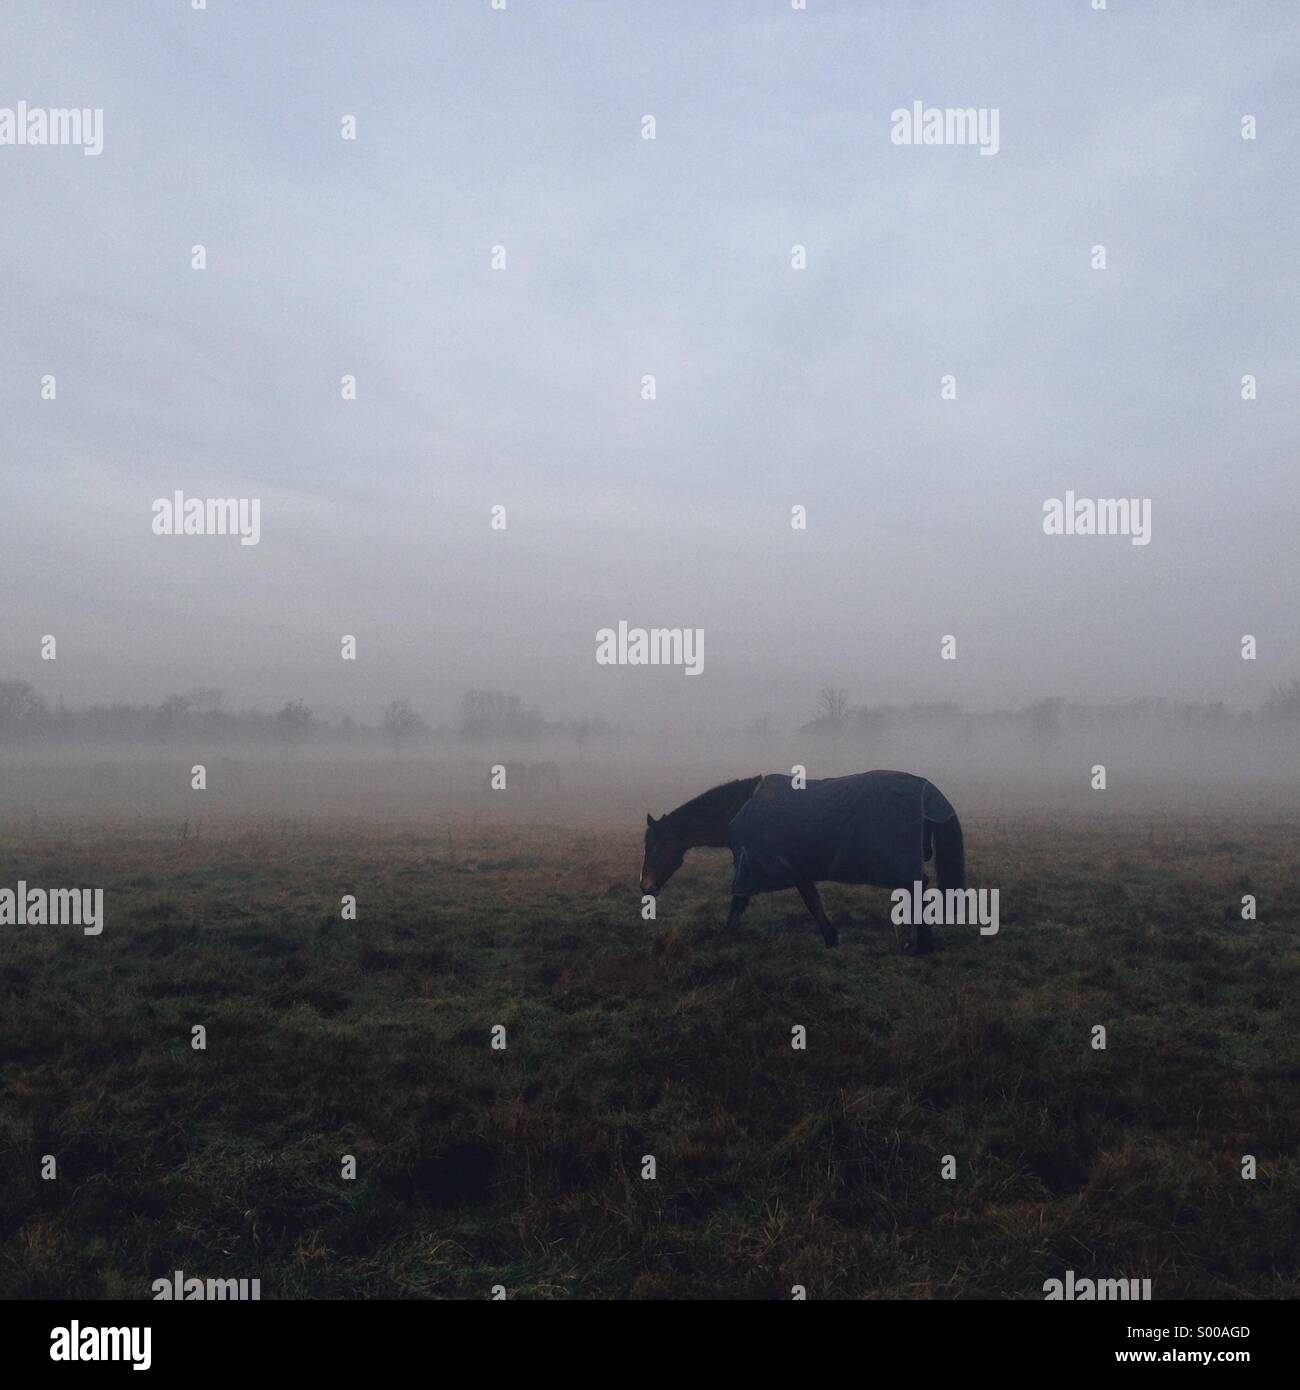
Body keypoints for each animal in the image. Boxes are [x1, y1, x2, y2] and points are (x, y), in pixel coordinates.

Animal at [639, 772, 967, 956]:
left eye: (651, 845)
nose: (646, 887)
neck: (738, 811)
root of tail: (930, 793)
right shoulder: (795, 867)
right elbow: (813, 901)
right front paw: (831, 938)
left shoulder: (753, 865)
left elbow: (738, 903)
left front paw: (722, 938)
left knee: (919, 887)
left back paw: (922, 945)